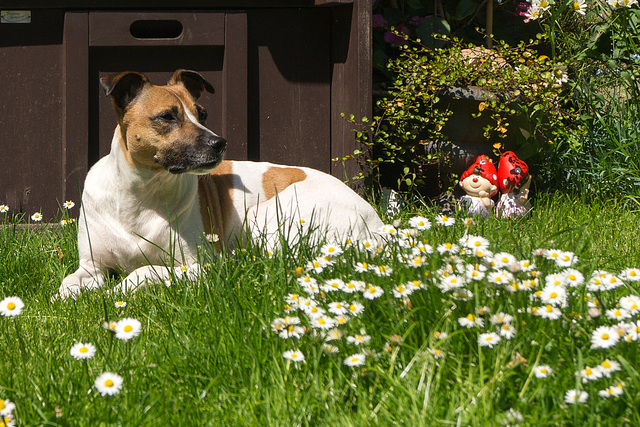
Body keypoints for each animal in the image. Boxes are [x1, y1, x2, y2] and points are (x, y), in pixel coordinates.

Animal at [57, 68, 382, 300]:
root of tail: (379, 227)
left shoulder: (198, 265)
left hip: (264, 215)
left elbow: (145, 271)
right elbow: (66, 285)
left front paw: (119, 290)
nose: (220, 143)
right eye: (167, 116)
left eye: (202, 114)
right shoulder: (91, 266)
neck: (142, 192)